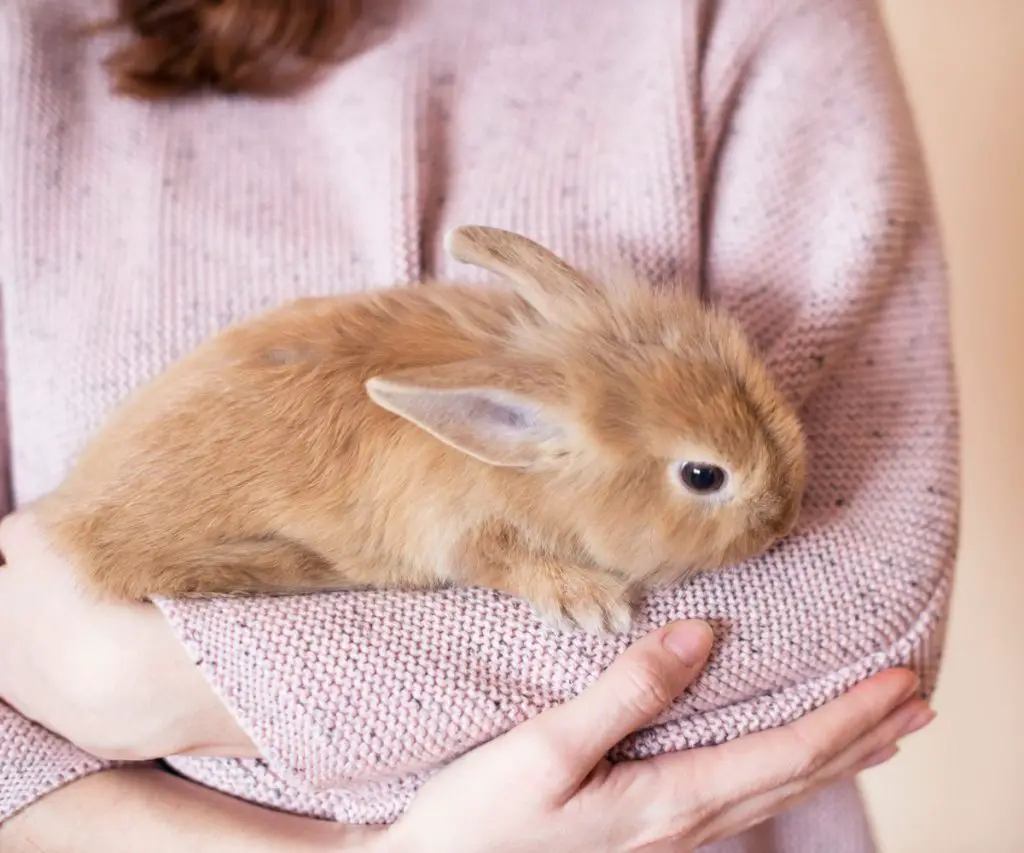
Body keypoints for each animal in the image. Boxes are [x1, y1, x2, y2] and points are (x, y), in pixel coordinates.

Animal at [32, 224, 802, 630]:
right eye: (703, 475)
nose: (785, 516)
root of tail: (71, 514)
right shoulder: (465, 532)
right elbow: (503, 562)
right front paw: (595, 605)